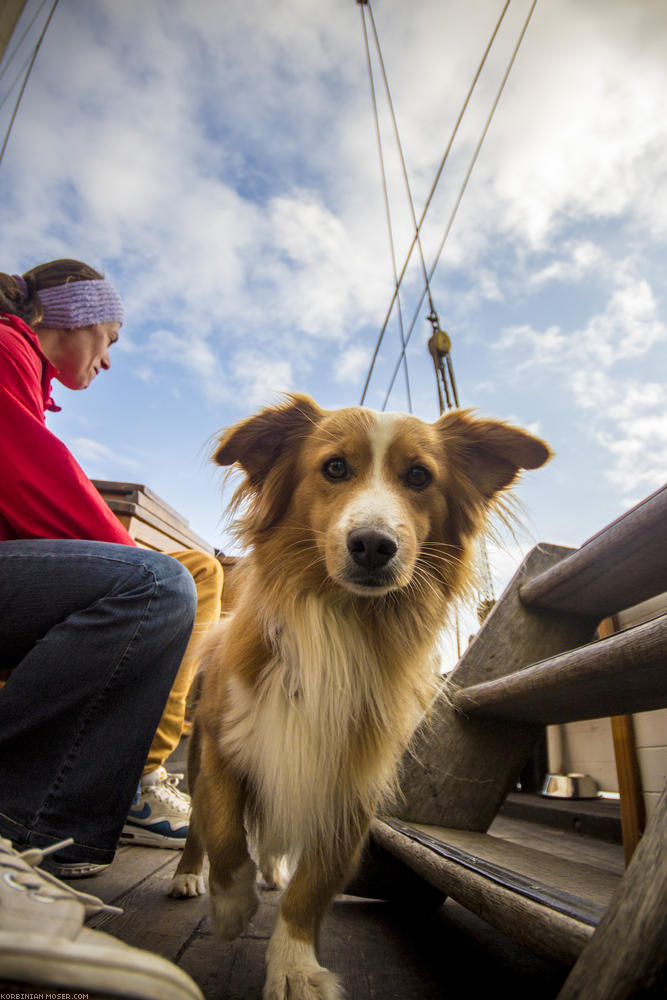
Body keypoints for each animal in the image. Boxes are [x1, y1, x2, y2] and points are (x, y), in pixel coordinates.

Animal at [170, 394, 552, 996]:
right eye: (334, 468)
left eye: (419, 476)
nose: (374, 545)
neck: (341, 620)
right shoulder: (223, 746)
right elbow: (226, 831)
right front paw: (231, 909)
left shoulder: (351, 777)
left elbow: (314, 884)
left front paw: (294, 965)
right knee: (200, 834)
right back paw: (189, 876)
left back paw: (272, 872)